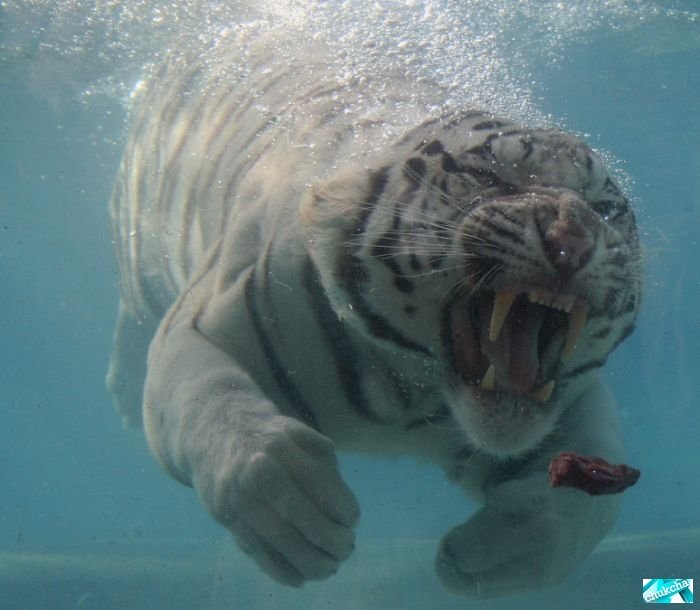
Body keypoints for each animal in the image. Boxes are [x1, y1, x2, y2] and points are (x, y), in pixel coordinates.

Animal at [106, 28, 641, 598]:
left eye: (607, 209)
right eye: (489, 175)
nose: (573, 237)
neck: (408, 386)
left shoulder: (573, 400)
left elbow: (589, 505)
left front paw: (487, 554)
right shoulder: (198, 324)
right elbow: (214, 406)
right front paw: (297, 516)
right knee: (132, 312)